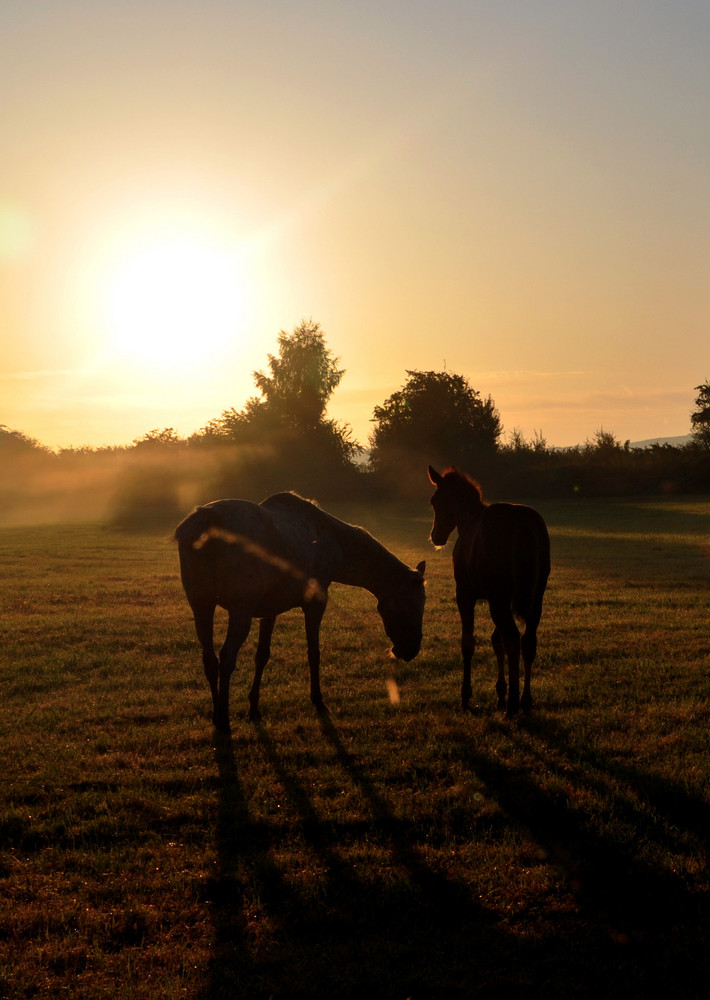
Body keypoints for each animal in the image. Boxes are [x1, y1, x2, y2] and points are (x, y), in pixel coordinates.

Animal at [175, 492, 426, 728]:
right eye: (414, 605)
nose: (410, 650)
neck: (331, 540)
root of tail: (206, 521)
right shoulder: (314, 604)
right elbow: (313, 653)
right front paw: (318, 700)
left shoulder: (269, 610)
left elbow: (262, 655)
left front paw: (254, 707)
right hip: (239, 612)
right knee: (226, 657)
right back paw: (223, 720)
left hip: (202, 606)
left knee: (209, 660)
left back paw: (216, 714)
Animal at [428, 464, 552, 716]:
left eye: (435, 501)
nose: (436, 536)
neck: (468, 522)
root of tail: (523, 524)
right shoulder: (506, 600)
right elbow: (496, 642)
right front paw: (499, 693)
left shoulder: (465, 595)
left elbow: (468, 643)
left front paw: (466, 696)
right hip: (534, 599)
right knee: (527, 641)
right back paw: (525, 700)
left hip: (498, 599)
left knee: (513, 638)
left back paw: (513, 705)